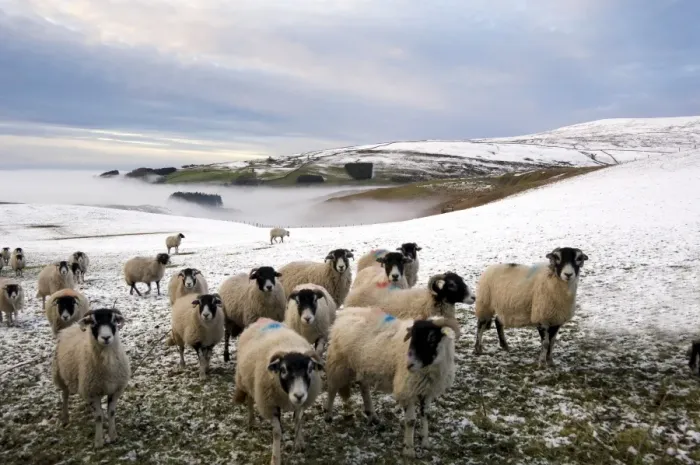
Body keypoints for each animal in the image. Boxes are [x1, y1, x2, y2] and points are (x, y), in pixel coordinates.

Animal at [52, 308, 130, 448]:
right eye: (93, 322)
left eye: (114, 320)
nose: (106, 337)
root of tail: (72, 327)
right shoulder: (92, 392)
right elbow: (98, 417)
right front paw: (99, 442)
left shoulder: (115, 390)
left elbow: (111, 412)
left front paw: (113, 436)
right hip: (60, 375)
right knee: (65, 395)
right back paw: (65, 417)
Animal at [232, 318, 324, 465]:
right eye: (284, 370)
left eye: (310, 369)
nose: (299, 395)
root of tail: (262, 319)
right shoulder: (270, 404)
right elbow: (276, 433)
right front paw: (275, 459)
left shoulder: (301, 403)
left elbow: (298, 420)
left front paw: (299, 443)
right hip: (247, 380)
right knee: (250, 401)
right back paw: (251, 422)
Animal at [324, 307, 459, 458]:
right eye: (412, 337)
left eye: (432, 338)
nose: (409, 365)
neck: (429, 368)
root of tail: (345, 313)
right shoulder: (406, 389)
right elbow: (411, 421)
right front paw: (409, 449)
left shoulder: (427, 390)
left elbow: (425, 415)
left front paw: (425, 443)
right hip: (339, 364)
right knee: (332, 388)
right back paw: (328, 415)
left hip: (362, 366)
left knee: (363, 387)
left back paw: (372, 416)